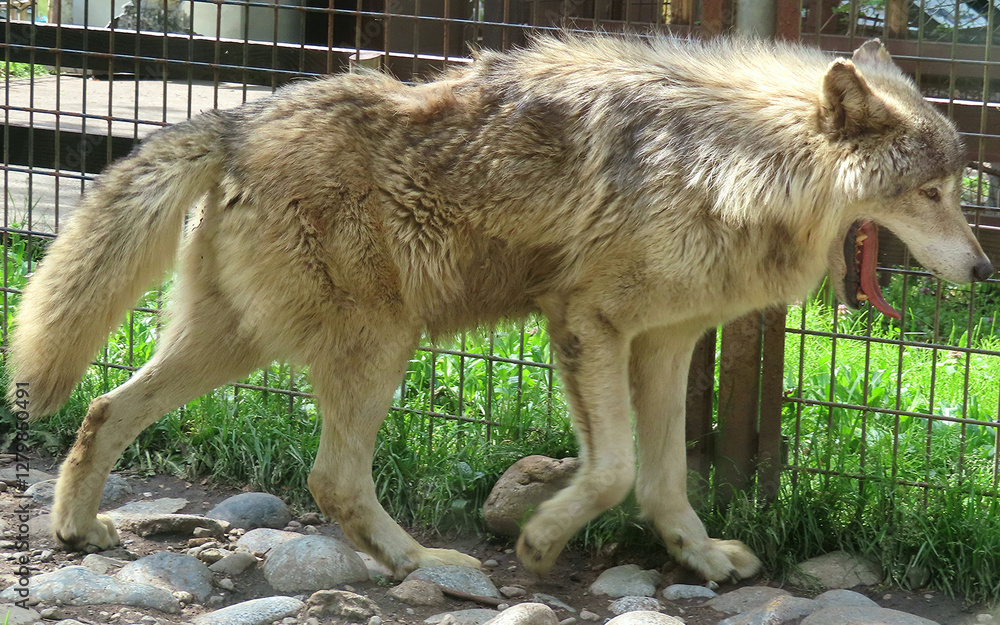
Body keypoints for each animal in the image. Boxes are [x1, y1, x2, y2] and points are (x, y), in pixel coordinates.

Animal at [7, 34, 993, 583]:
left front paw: (702, 557)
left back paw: (76, 527)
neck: (730, 164)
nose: (984, 269)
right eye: (931, 193)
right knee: (332, 480)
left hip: (236, 345)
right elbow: (611, 471)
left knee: (103, 408)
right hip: (379, 343)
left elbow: (664, 480)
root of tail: (239, 118)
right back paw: (423, 565)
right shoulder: (586, 322)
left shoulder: (667, 343)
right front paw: (541, 544)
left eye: (956, 189)